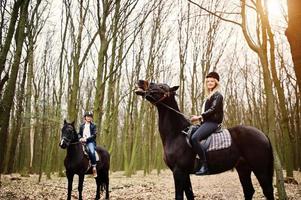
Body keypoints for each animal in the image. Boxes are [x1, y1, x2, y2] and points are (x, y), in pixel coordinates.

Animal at [135, 80, 274, 200]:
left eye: (162, 87)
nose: (141, 82)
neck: (176, 134)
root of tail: (263, 135)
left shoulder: (178, 171)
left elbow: (179, 196)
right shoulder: (184, 174)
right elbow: (190, 195)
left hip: (260, 169)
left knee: (267, 191)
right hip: (243, 168)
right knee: (249, 191)